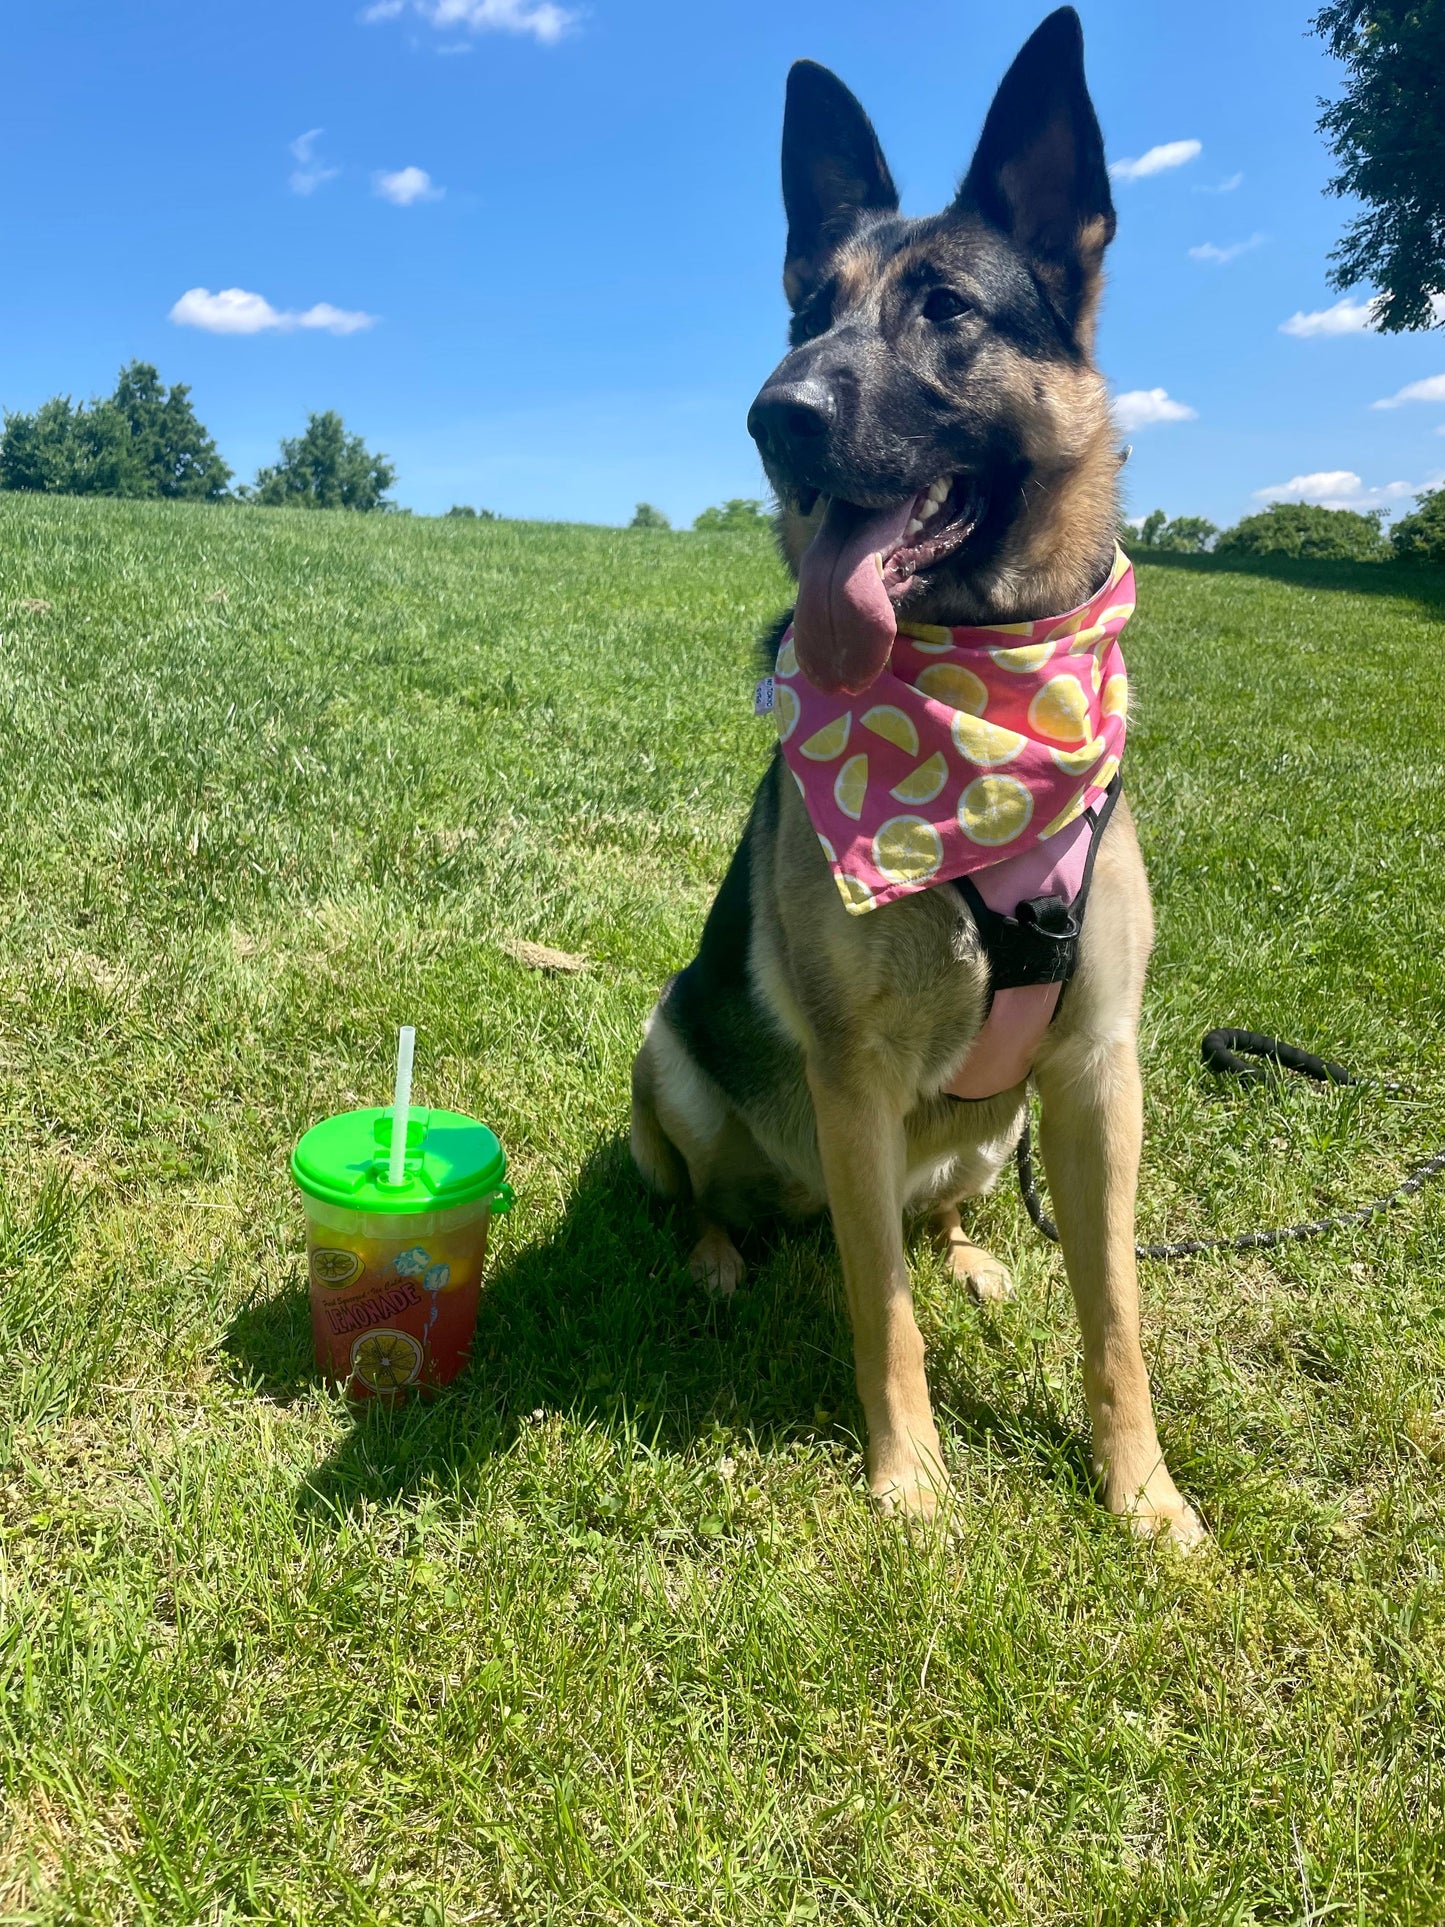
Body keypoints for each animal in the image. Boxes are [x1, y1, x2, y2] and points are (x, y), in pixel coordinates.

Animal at [631, 3, 1209, 1549]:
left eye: (945, 308)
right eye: (803, 315)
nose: (773, 413)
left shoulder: (1098, 1072)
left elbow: (1115, 1313)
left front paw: (1140, 1490)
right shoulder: (851, 1076)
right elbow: (874, 1306)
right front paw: (911, 1482)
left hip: (994, 1131)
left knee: (933, 1209)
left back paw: (967, 1249)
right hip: (671, 1059)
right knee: (722, 1195)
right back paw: (720, 1250)